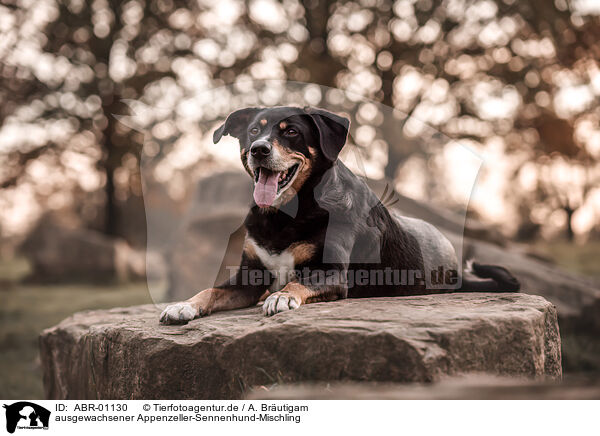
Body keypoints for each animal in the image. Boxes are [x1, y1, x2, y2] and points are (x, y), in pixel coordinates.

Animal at [161, 105, 520, 324]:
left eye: (291, 132)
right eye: (252, 131)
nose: (258, 150)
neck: (285, 215)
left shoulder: (331, 272)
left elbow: (298, 282)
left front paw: (281, 297)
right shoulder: (250, 275)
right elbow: (212, 290)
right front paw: (183, 305)